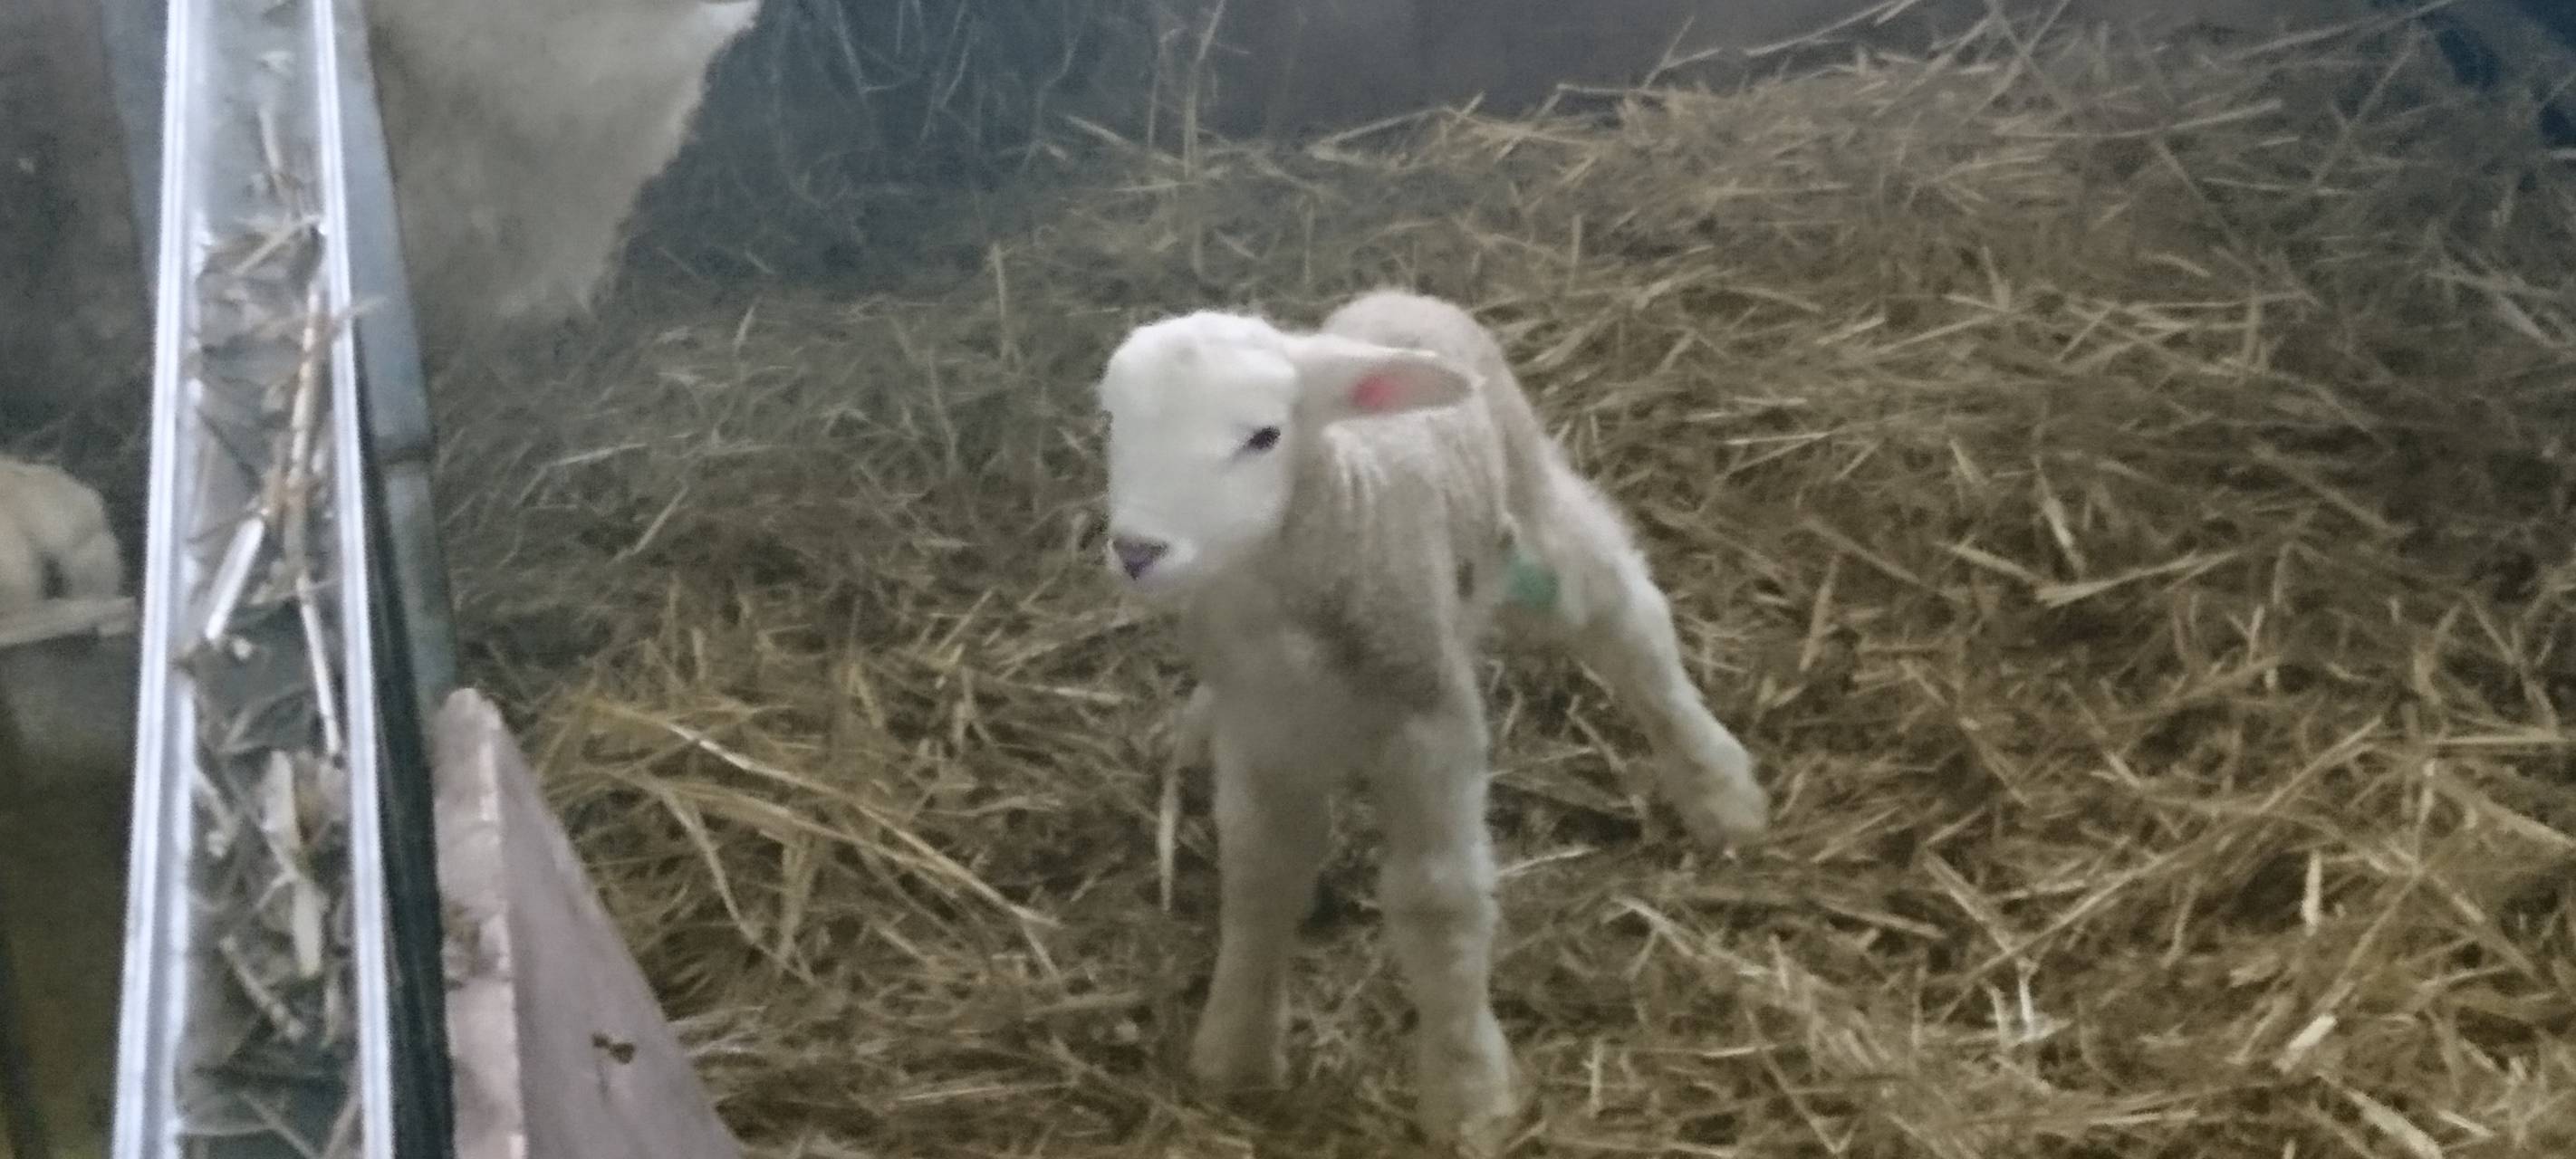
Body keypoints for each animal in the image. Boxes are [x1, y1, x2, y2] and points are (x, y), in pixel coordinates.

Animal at [1094, 288, 1769, 1153]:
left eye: (1263, 436)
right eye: (1112, 420)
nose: (1138, 550)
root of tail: (1394, 296)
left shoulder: (1429, 724)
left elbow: (1437, 900)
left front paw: (1468, 1090)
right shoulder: (1264, 735)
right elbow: (1260, 881)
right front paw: (1235, 1052)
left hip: (1529, 496)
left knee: (1626, 619)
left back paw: (1720, 791)